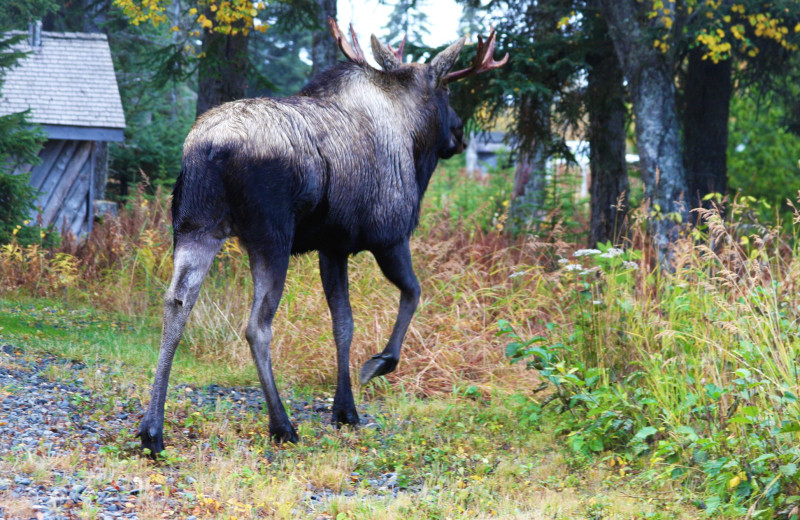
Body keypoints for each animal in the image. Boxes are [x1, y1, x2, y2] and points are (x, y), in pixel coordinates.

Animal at [137, 18, 506, 452]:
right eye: (446, 90)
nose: (460, 133)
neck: (414, 144)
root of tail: (209, 146)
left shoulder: (333, 246)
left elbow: (343, 324)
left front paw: (345, 410)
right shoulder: (389, 235)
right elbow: (413, 293)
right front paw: (378, 365)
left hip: (195, 226)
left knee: (176, 303)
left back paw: (152, 430)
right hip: (270, 236)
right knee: (257, 326)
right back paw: (281, 425)